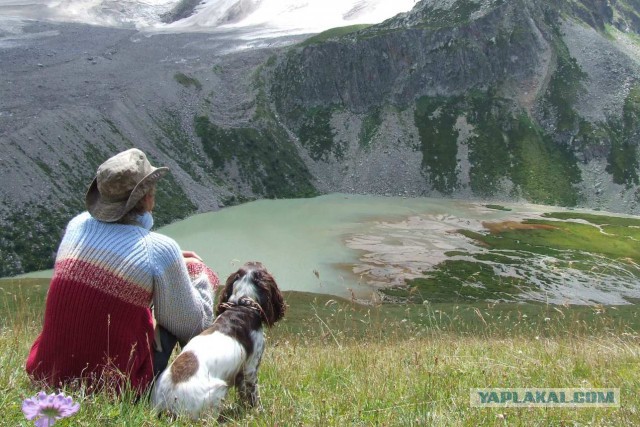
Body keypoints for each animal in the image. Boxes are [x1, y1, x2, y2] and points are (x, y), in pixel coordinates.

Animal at [151, 262, 286, 420]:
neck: (242, 305)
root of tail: (164, 409)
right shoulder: (250, 368)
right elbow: (253, 396)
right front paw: (259, 412)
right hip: (218, 389)